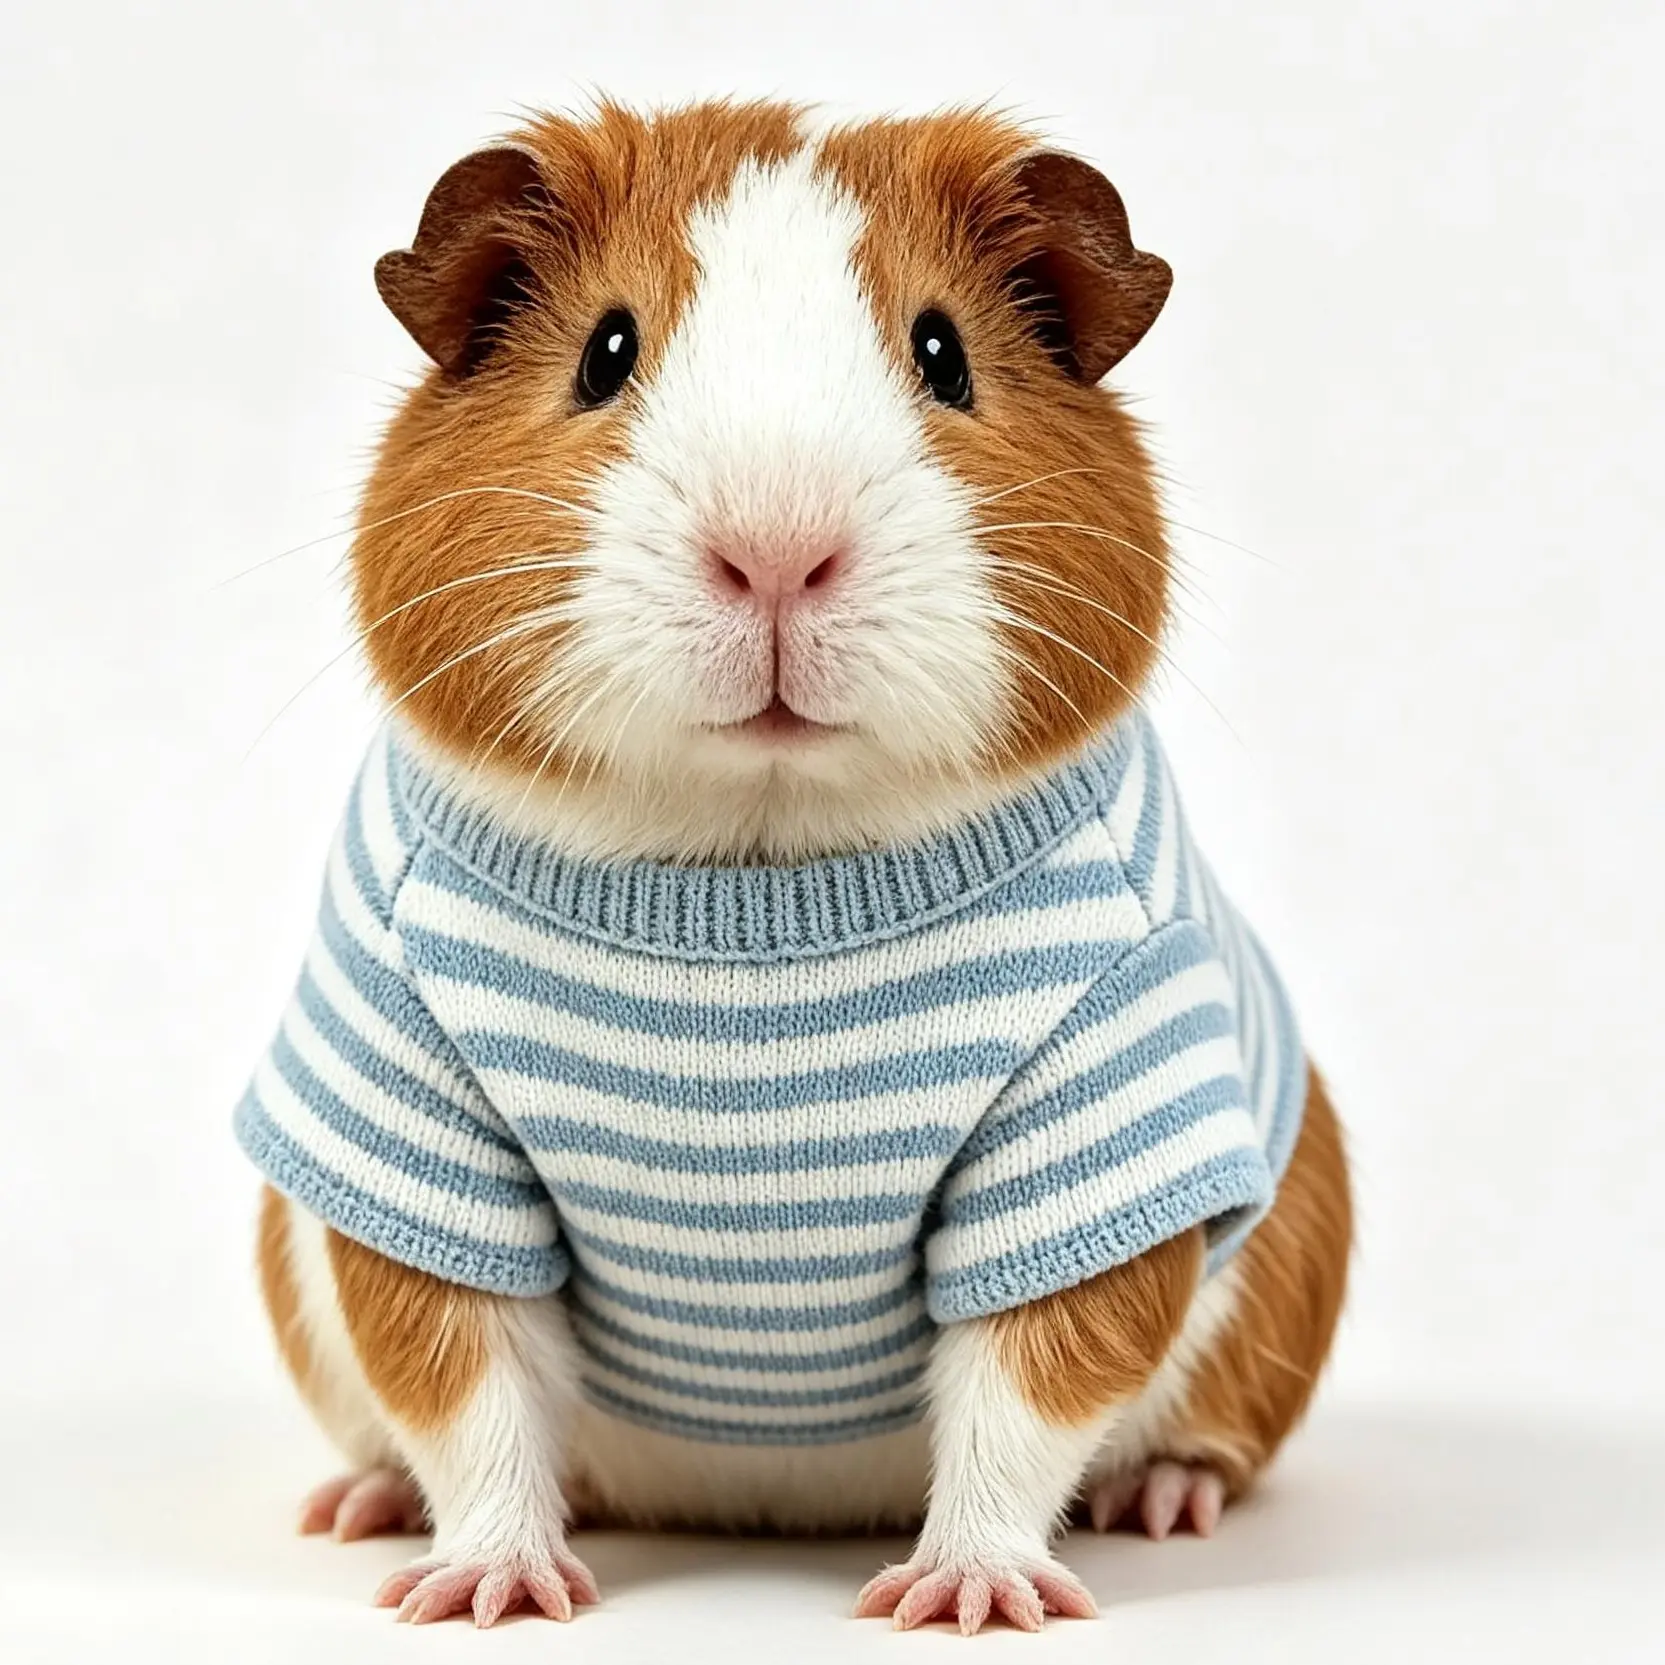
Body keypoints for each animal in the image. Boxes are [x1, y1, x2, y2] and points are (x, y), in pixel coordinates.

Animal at [245, 98, 1351, 1634]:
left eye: (944, 353)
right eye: (606, 351)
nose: (775, 551)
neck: (753, 877)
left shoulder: (1093, 1138)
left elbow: (1034, 1377)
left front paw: (961, 1601)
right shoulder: (416, 1140)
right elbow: (465, 1381)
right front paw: (484, 1595)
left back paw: (1162, 1503)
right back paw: (356, 1509)